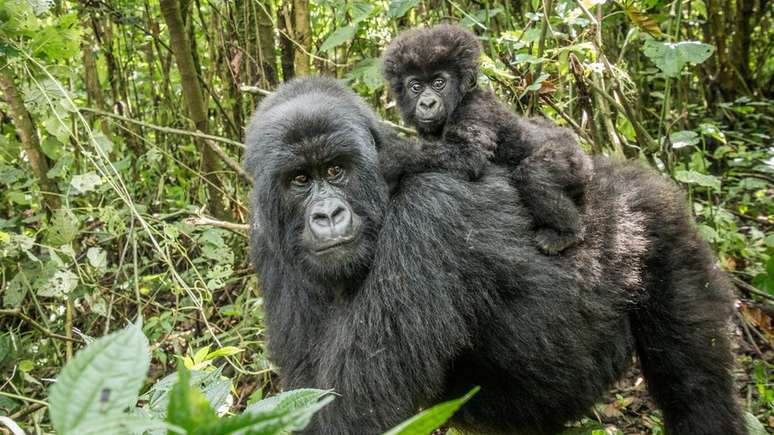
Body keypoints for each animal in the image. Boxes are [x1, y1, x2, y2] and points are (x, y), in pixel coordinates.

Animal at [247, 78, 744, 435]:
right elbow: (308, 395)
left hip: (665, 236)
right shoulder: (268, 242)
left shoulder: (429, 218)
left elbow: (353, 414)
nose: (328, 214)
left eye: (336, 170)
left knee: (696, 387)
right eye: (299, 180)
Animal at [384, 24, 596, 255]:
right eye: (416, 86)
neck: (461, 98)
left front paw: (391, 158)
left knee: (533, 174)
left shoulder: (475, 108)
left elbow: (468, 155)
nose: (427, 103)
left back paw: (566, 233)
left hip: (574, 161)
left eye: (439, 83)